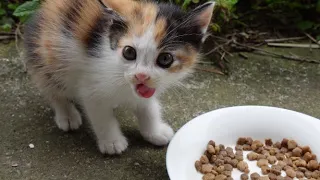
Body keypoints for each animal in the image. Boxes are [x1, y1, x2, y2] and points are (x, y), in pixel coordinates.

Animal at [23, 0, 215, 155]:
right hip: (47, 57)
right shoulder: (92, 84)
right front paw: (112, 142)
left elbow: (148, 107)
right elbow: (101, 114)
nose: (141, 75)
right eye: (129, 52)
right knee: (54, 89)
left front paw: (154, 132)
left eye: (165, 58)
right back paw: (67, 115)